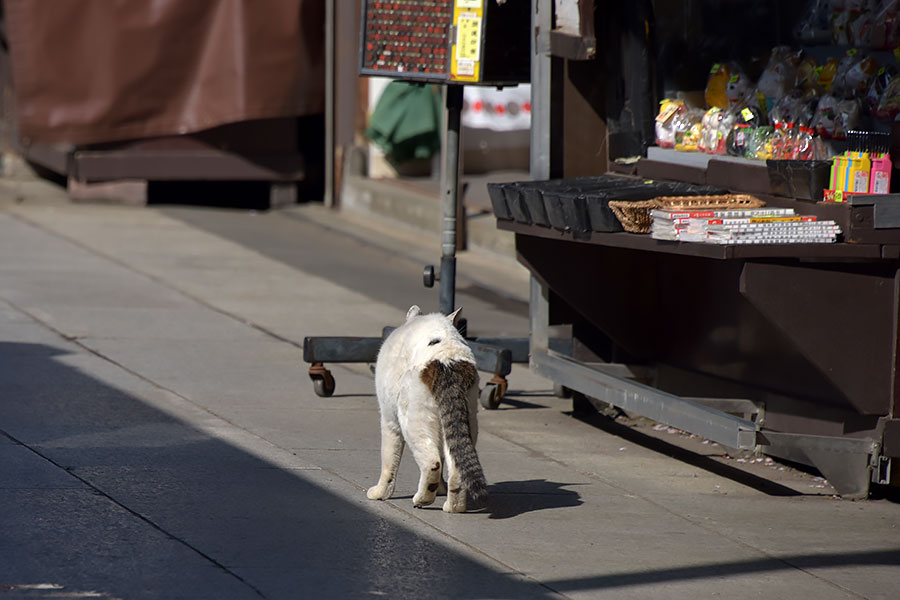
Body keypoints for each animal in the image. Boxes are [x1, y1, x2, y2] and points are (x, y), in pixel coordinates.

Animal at [368, 304, 488, 510]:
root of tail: (448, 360)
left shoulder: (389, 420)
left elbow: (389, 462)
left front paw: (380, 493)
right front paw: (441, 489)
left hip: (413, 419)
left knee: (432, 462)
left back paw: (422, 499)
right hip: (466, 418)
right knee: (456, 466)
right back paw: (453, 507)